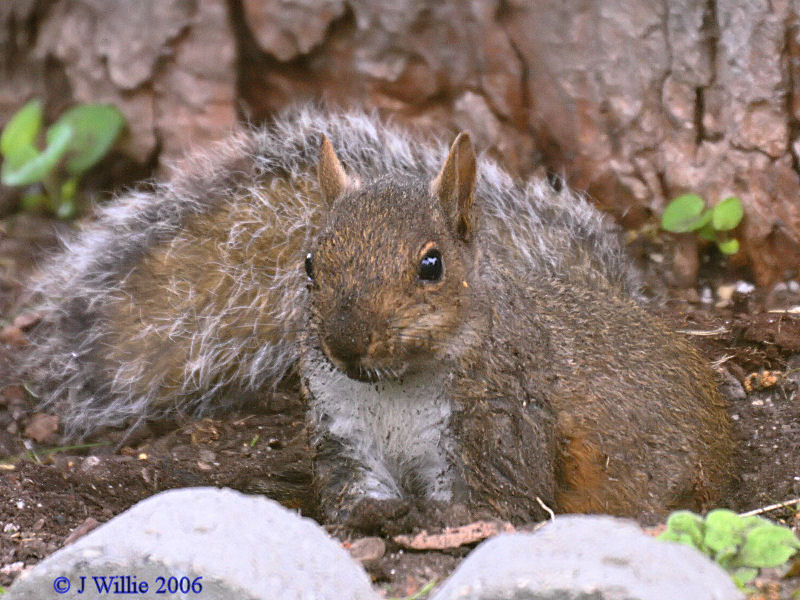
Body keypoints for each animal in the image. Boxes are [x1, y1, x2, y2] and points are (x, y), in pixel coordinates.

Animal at [6, 106, 736, 520]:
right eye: (307, 264)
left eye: (432, 265)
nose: (348, 342)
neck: (394, 393)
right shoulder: (344, 432)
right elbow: (353, 494)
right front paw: (369, 521)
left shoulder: (498, 430)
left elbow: (494, 503)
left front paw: (431, 525)